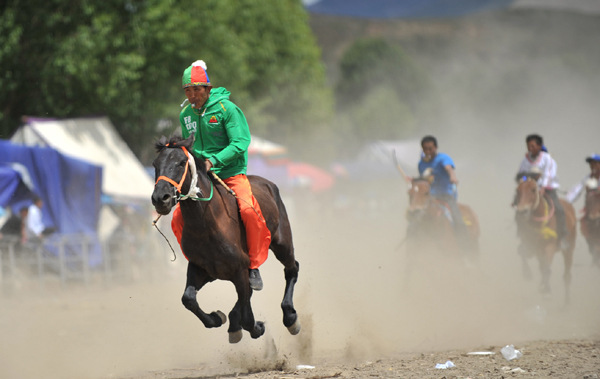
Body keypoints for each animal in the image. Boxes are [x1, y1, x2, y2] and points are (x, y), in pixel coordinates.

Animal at [150, 136, 300, 344]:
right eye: (155, 164)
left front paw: (257, 327)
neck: (207, 224)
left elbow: (248, 317)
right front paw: (216, 318)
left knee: (292, 268)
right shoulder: (203, 268)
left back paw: (290, 317)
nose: (160, 198)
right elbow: (188, 299)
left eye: (181, 162)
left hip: (282, 244)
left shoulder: (238, 269)